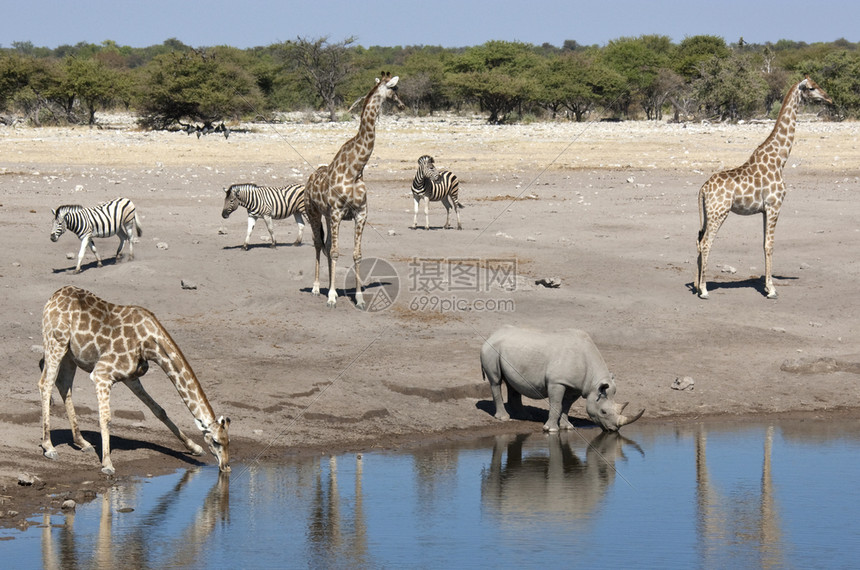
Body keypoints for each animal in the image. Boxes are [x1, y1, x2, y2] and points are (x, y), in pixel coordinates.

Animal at [38, 284, 230, 474]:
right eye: (215, 441)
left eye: (228, 441)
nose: (226, 466)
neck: (150, 343)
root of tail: (53, 297)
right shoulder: (102, 374)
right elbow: (106, 418)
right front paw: (107, 464)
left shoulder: (130, 377)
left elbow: (158, 410)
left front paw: (194, 448)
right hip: (56, 342)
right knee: (45, 383)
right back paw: (49, 447)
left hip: (70, 355)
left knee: (63, 385)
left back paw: (82, 442)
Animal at [306, 74, 406, 310]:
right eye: (395, 89)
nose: (402, 105)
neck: (355, 170)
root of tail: (309, 180)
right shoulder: (336, 212)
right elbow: (335, 252)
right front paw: (332, 297)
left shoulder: (360, 213)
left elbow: (356, 254)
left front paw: (359, 298)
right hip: (313, 212)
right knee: (318, 244)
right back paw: (316, 288)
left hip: (326, 216)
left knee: (326, 244)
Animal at [696, 76, 828, 300]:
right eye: (811, 88)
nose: (828, 97)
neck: (780, 160)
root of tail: (703, 190)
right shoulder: (775, 205)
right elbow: (770, 245)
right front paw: (772, 290)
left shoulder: (765, 209)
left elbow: (763, 243)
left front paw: (767, 286)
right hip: (718, 212)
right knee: (705, 243)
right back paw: (704, 290)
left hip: (707, 214)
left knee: (698, 241)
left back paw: (696, 286)